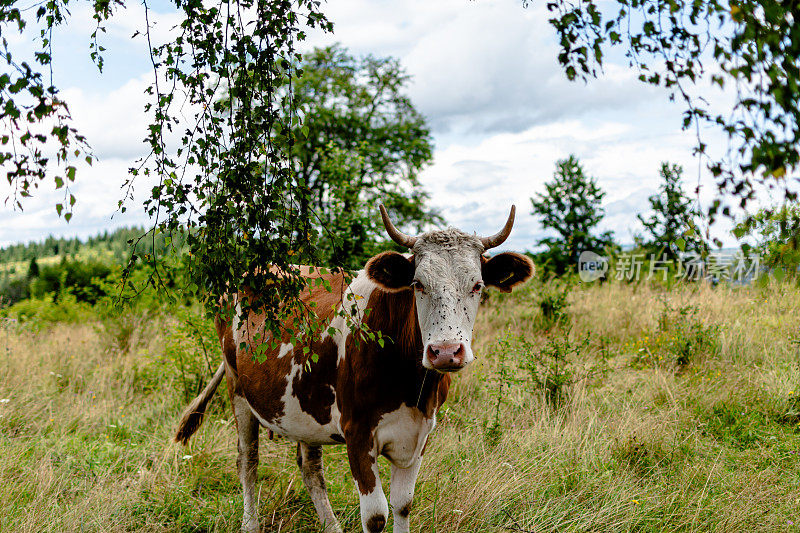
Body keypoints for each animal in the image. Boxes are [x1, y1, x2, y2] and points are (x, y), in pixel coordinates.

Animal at [174, 205, 532, 532]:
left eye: (477, 285)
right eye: (418, 284)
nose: (445, 351)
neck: (410, 384)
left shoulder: (419, 434)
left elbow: (403, 505)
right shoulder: (358, 433)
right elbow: (376, 516)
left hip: (304, 407)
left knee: (310, 468)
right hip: (238, 388)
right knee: (248, 459)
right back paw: (250, 524)